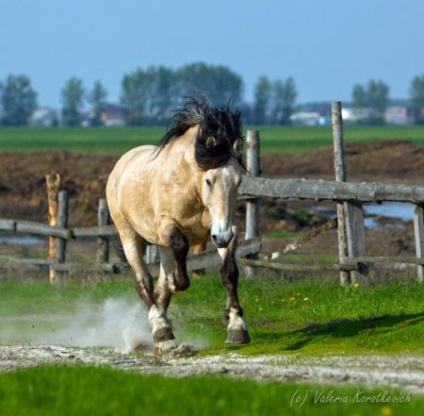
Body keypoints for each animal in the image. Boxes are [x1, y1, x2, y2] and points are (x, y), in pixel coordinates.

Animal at [106, 94, 250, 354]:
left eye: (238, 181)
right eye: (209, 181)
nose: (222, 237)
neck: (191, 187)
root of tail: (120, 166)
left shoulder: (226, 228)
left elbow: (229, 273)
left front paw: (237, 327)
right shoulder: (168, 226)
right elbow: (181, 250)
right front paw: (176, 284)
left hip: (162, 245)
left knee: (159, 288)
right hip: (129, 236)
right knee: (144, 283)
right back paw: (162, 332)